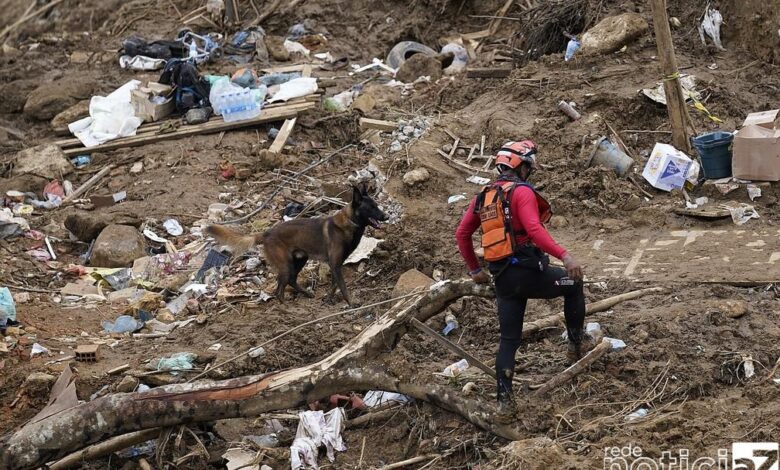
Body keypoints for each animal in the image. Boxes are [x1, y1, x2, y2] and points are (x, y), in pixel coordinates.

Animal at [206, 185, 388, 306]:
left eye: (376, 205)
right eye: (371, 207)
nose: (386, 216)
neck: (350, 222)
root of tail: (266, 233)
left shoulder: (336, 265)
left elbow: (334, 285)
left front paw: (329, 300)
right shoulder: (335, 265)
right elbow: (342, 286)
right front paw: (351, 303)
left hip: (300, 259)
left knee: (291, 280)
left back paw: (305, 294)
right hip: (286, 264)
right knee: (279, 289)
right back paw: (285, 308)